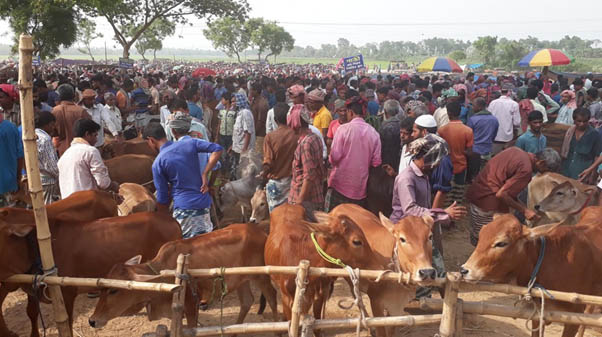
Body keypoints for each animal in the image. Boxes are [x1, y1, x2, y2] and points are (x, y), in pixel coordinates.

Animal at [89, 223, 276, 328]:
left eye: (113, 290)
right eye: (102, 289)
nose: (92, 320)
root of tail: (261, 231)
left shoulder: (191, 305)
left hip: (261, 276)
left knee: (272, 297)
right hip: (241, 280)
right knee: (247, 301)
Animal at [264, 202, 380, 330]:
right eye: (356, 241)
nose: (378, 266)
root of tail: (288, 203)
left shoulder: (318, 295)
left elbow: (317, 326)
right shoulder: (287, 300)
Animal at [330, 202, 434, 336]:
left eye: (430, 236)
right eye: (402, 239)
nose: (427, 272)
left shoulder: (396, 307)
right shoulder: (376, 301)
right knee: (355, 294)